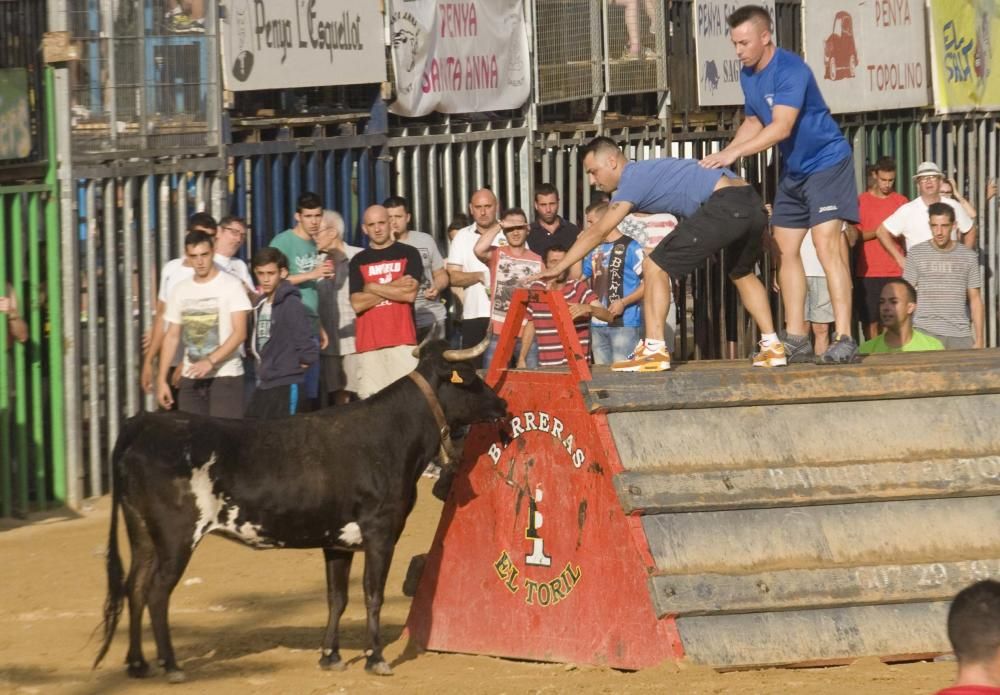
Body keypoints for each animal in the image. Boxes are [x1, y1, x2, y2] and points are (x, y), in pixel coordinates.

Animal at [94, 340, 508, 684]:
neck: (393, 435)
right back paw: (171, 665)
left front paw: (331, 656)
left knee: (135, 586)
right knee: (156, 592)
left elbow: (337, 598)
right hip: (177, 538)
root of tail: (145, 422)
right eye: (470, 375)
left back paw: (137, 663)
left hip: (143, 534)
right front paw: (376, 658)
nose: (502, 404)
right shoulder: (381, 534)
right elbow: (372, 594)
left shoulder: (338, 543)